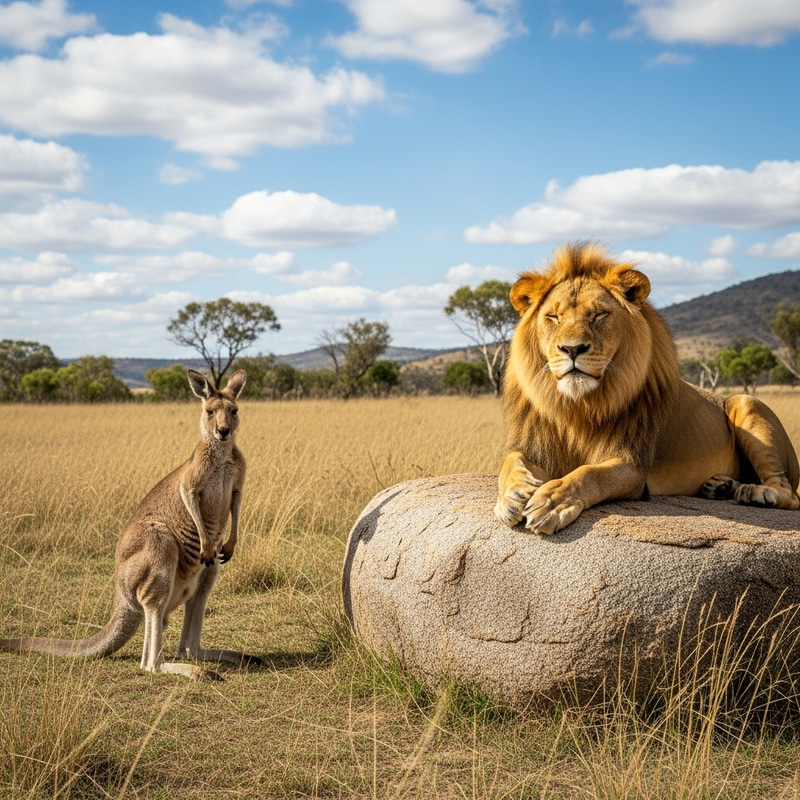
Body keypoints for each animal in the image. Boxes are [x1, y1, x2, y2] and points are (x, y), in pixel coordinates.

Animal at [495, 242, 800, 535]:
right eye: (553, 317)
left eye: (599, 315)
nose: (572, 349)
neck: (577, 406)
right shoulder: (537, 446)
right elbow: (510, 460)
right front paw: (511, 496)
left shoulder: (633, 466)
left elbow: (588, 474)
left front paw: (552, 503)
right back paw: (719, 486)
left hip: (746, 401)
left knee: (790, 494)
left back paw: (754, 493)